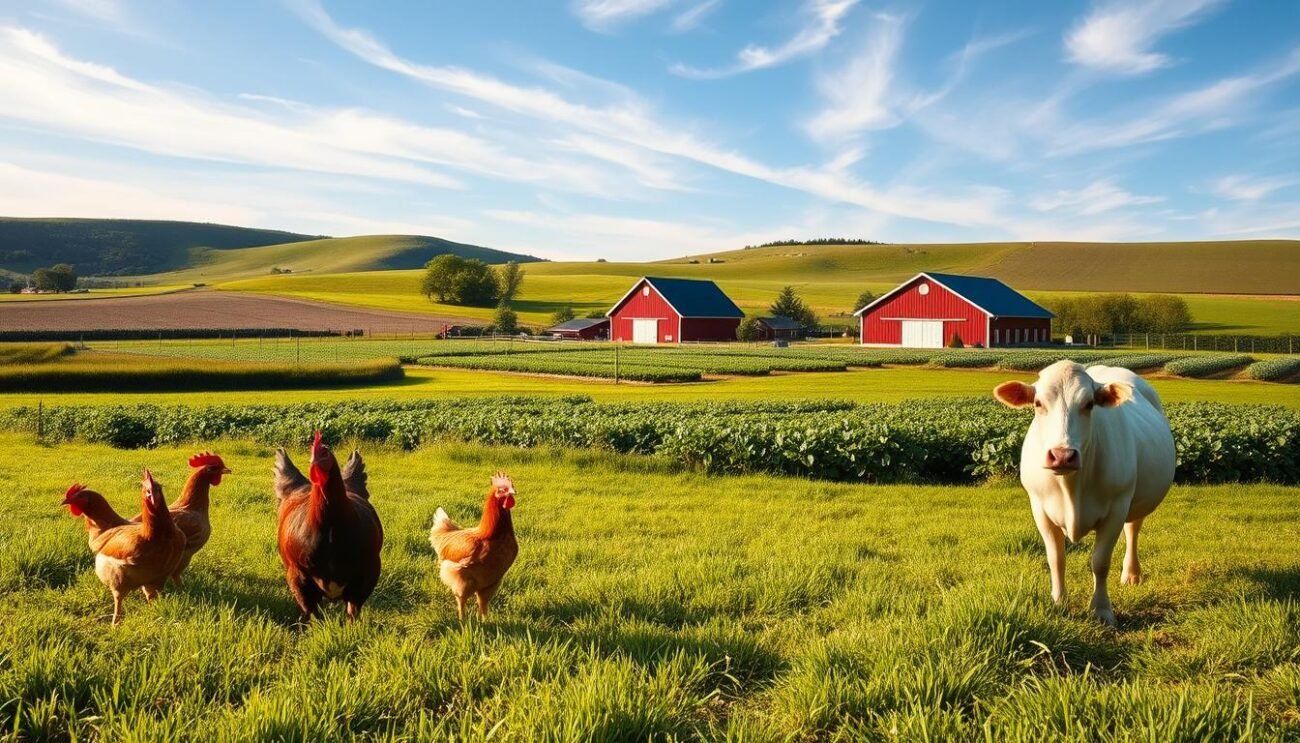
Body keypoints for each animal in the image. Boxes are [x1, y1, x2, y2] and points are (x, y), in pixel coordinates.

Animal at [994, 361, 1175, 626]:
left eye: (1089, 404)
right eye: (1038, 403)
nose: (1062, 455)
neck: (1071, 487)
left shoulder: (1117, 508)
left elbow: (1100, 562)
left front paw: (1101, 610)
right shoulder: (1039, 509)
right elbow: (1056, 558)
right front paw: (1059, 603)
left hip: (1138, 500)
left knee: (1133, 530)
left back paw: (1131, 574)